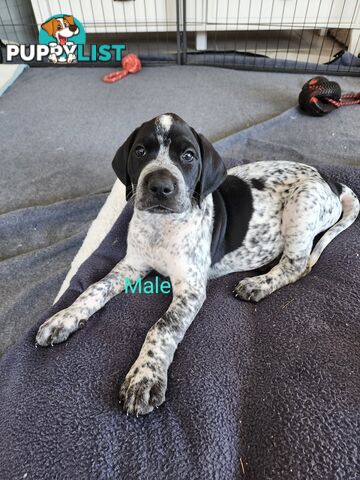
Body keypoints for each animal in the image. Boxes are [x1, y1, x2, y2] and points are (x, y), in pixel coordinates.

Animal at [35, 113, 358, 416]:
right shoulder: (131, 265)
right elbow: (94, 289)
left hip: (301, 205)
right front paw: (65, 317)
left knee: (297, 265)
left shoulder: (190, 290)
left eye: (188, 156)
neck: (161, 225)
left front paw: (145, 377)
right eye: (140, 151)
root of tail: (331, 180)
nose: (160, 186)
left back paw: (258, 284)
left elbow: (162, 327)